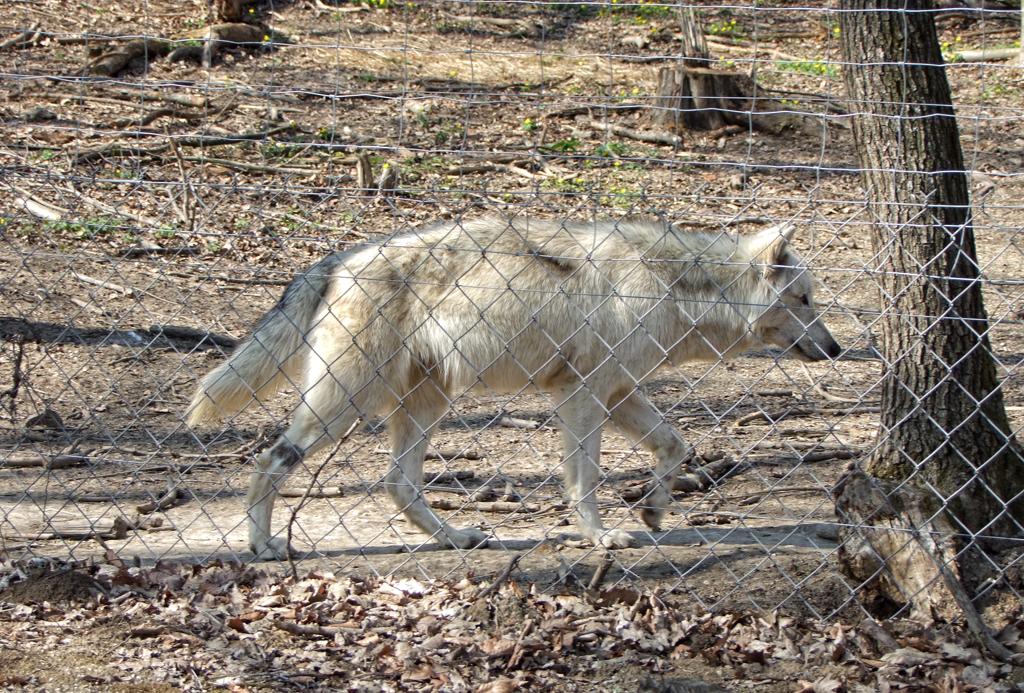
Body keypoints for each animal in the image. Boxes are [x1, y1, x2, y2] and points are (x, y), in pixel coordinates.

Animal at [186, 217, 841, 559]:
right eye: (805, 300)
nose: (837, 349)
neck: (675, 287)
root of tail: (337, 260)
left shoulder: (619, 393)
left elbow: (676, 446)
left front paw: (655, 509)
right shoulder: (582, 398)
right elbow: (585, 481)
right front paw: (600, 536)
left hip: (425, 406)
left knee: (399, 484)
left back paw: (456, 538)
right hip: (344, 406)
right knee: (270, 460)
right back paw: (262, 546)